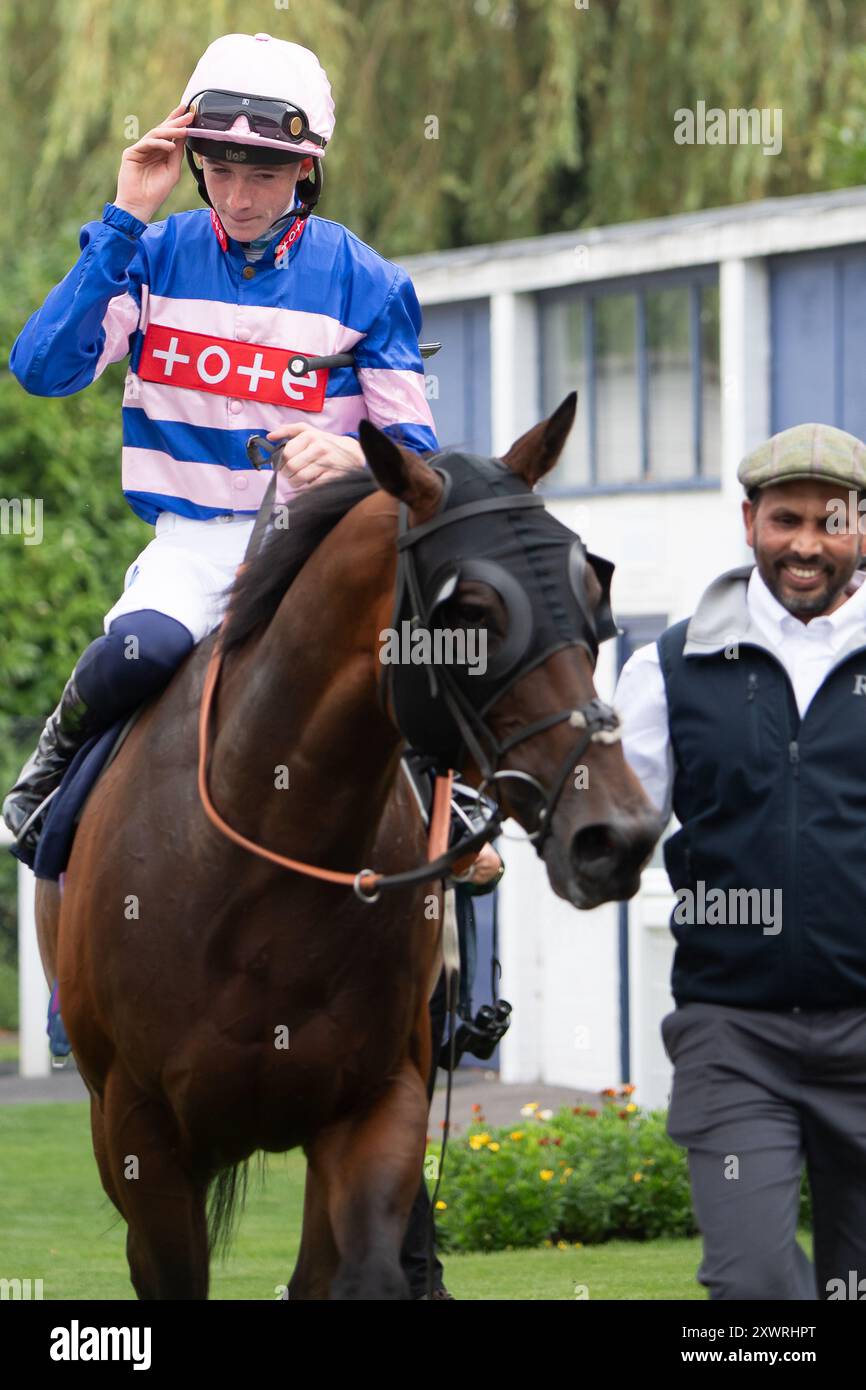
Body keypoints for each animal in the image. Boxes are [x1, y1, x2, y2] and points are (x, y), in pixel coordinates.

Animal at [32, 394, 656, 1301]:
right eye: (470, 611)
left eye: (589, 593)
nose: (617, 833)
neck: (259, 868)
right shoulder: (141, 1136)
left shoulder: (377, 1105)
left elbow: (367, 1271)